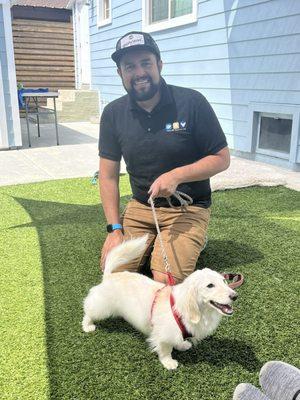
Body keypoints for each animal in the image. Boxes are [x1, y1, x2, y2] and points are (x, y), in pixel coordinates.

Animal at [82, 236, 237, 370]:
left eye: (224, 281)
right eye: (210, 285)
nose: (235, 296)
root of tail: (109, 276)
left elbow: (178, 341)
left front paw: (182, 345)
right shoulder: (163, 335)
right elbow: (165, 350)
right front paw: (169, 363)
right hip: (101, 307)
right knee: (88, 311)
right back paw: (87, 326)